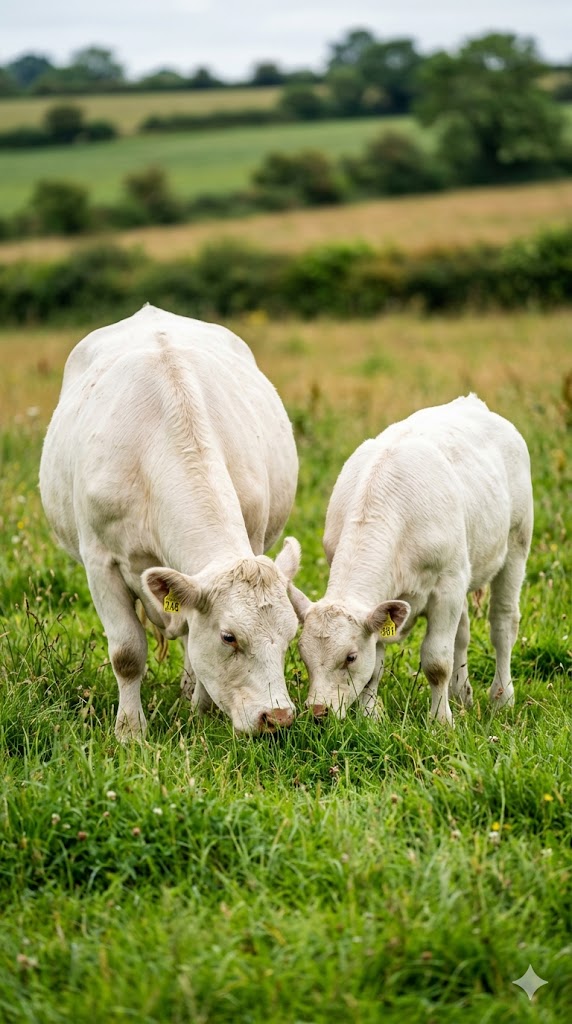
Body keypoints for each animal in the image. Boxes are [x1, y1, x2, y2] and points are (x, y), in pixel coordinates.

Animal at [39, 305, 301, 740]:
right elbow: (127, 652)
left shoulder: (251, 539)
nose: (277, 718)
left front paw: (201, 712)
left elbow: (194, 642)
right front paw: (130, 731)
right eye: (229, 637)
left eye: (290, 634)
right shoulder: (100, 563)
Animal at [288, 395, 533, 725]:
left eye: (350, 657)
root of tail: (471, 402)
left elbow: (437, 660)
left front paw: (440, 721)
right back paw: (461, 693)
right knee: (463, 633)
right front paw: (369, 717)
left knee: (503, 625)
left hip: (516, 544)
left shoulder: (447, 587)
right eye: (303, 654)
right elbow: (376, 666)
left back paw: (502, 698)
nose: (318, 712)